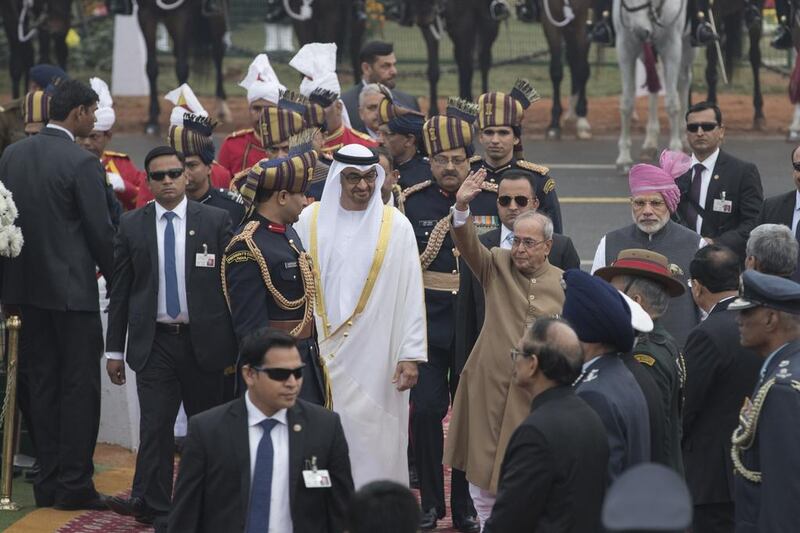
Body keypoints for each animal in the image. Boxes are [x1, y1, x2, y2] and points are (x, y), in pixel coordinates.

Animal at [612, 0, 692, 170]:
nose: (640, 32)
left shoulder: (672, 47)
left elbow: (672, 104)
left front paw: (676, 149)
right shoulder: (625, 47)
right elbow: (627, 104)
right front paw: (624, 157)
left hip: (688, 47)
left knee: (683, 81)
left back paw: (684, 137)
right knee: (654, 86)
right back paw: (650, 142)